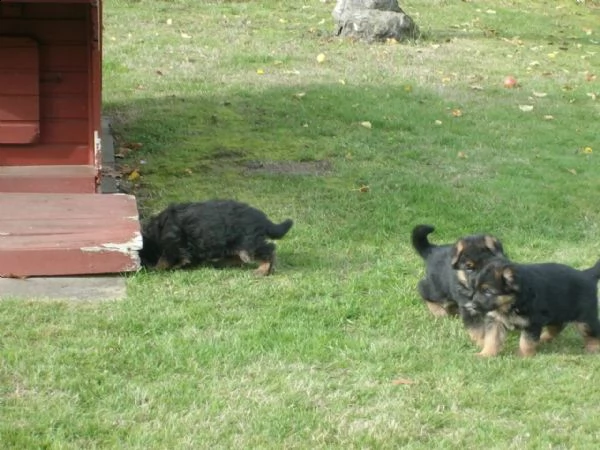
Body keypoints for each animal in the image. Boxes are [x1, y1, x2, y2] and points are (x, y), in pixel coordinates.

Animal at [138, 200, 292, 276]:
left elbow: (164, 261)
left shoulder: (173, 245)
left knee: (268, 250)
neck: (155, 233)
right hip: (233, 244)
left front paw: (156, 269)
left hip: (247, 243)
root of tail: (263, 220)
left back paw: (262, 270)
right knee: (239, 258)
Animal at [468, 258, 600, 356]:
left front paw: (524, 356)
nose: (472, 306)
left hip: (585, 320)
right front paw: (485, 354)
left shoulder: (532, 322)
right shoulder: (495, 321)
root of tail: (587, 275)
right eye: (476, 289)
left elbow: (526, 341)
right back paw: (543, 338)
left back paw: (593, 348)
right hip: (556, 311)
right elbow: (492, 339)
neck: (512, 303)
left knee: (593, 332)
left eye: (487, 291)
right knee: (557, 326)